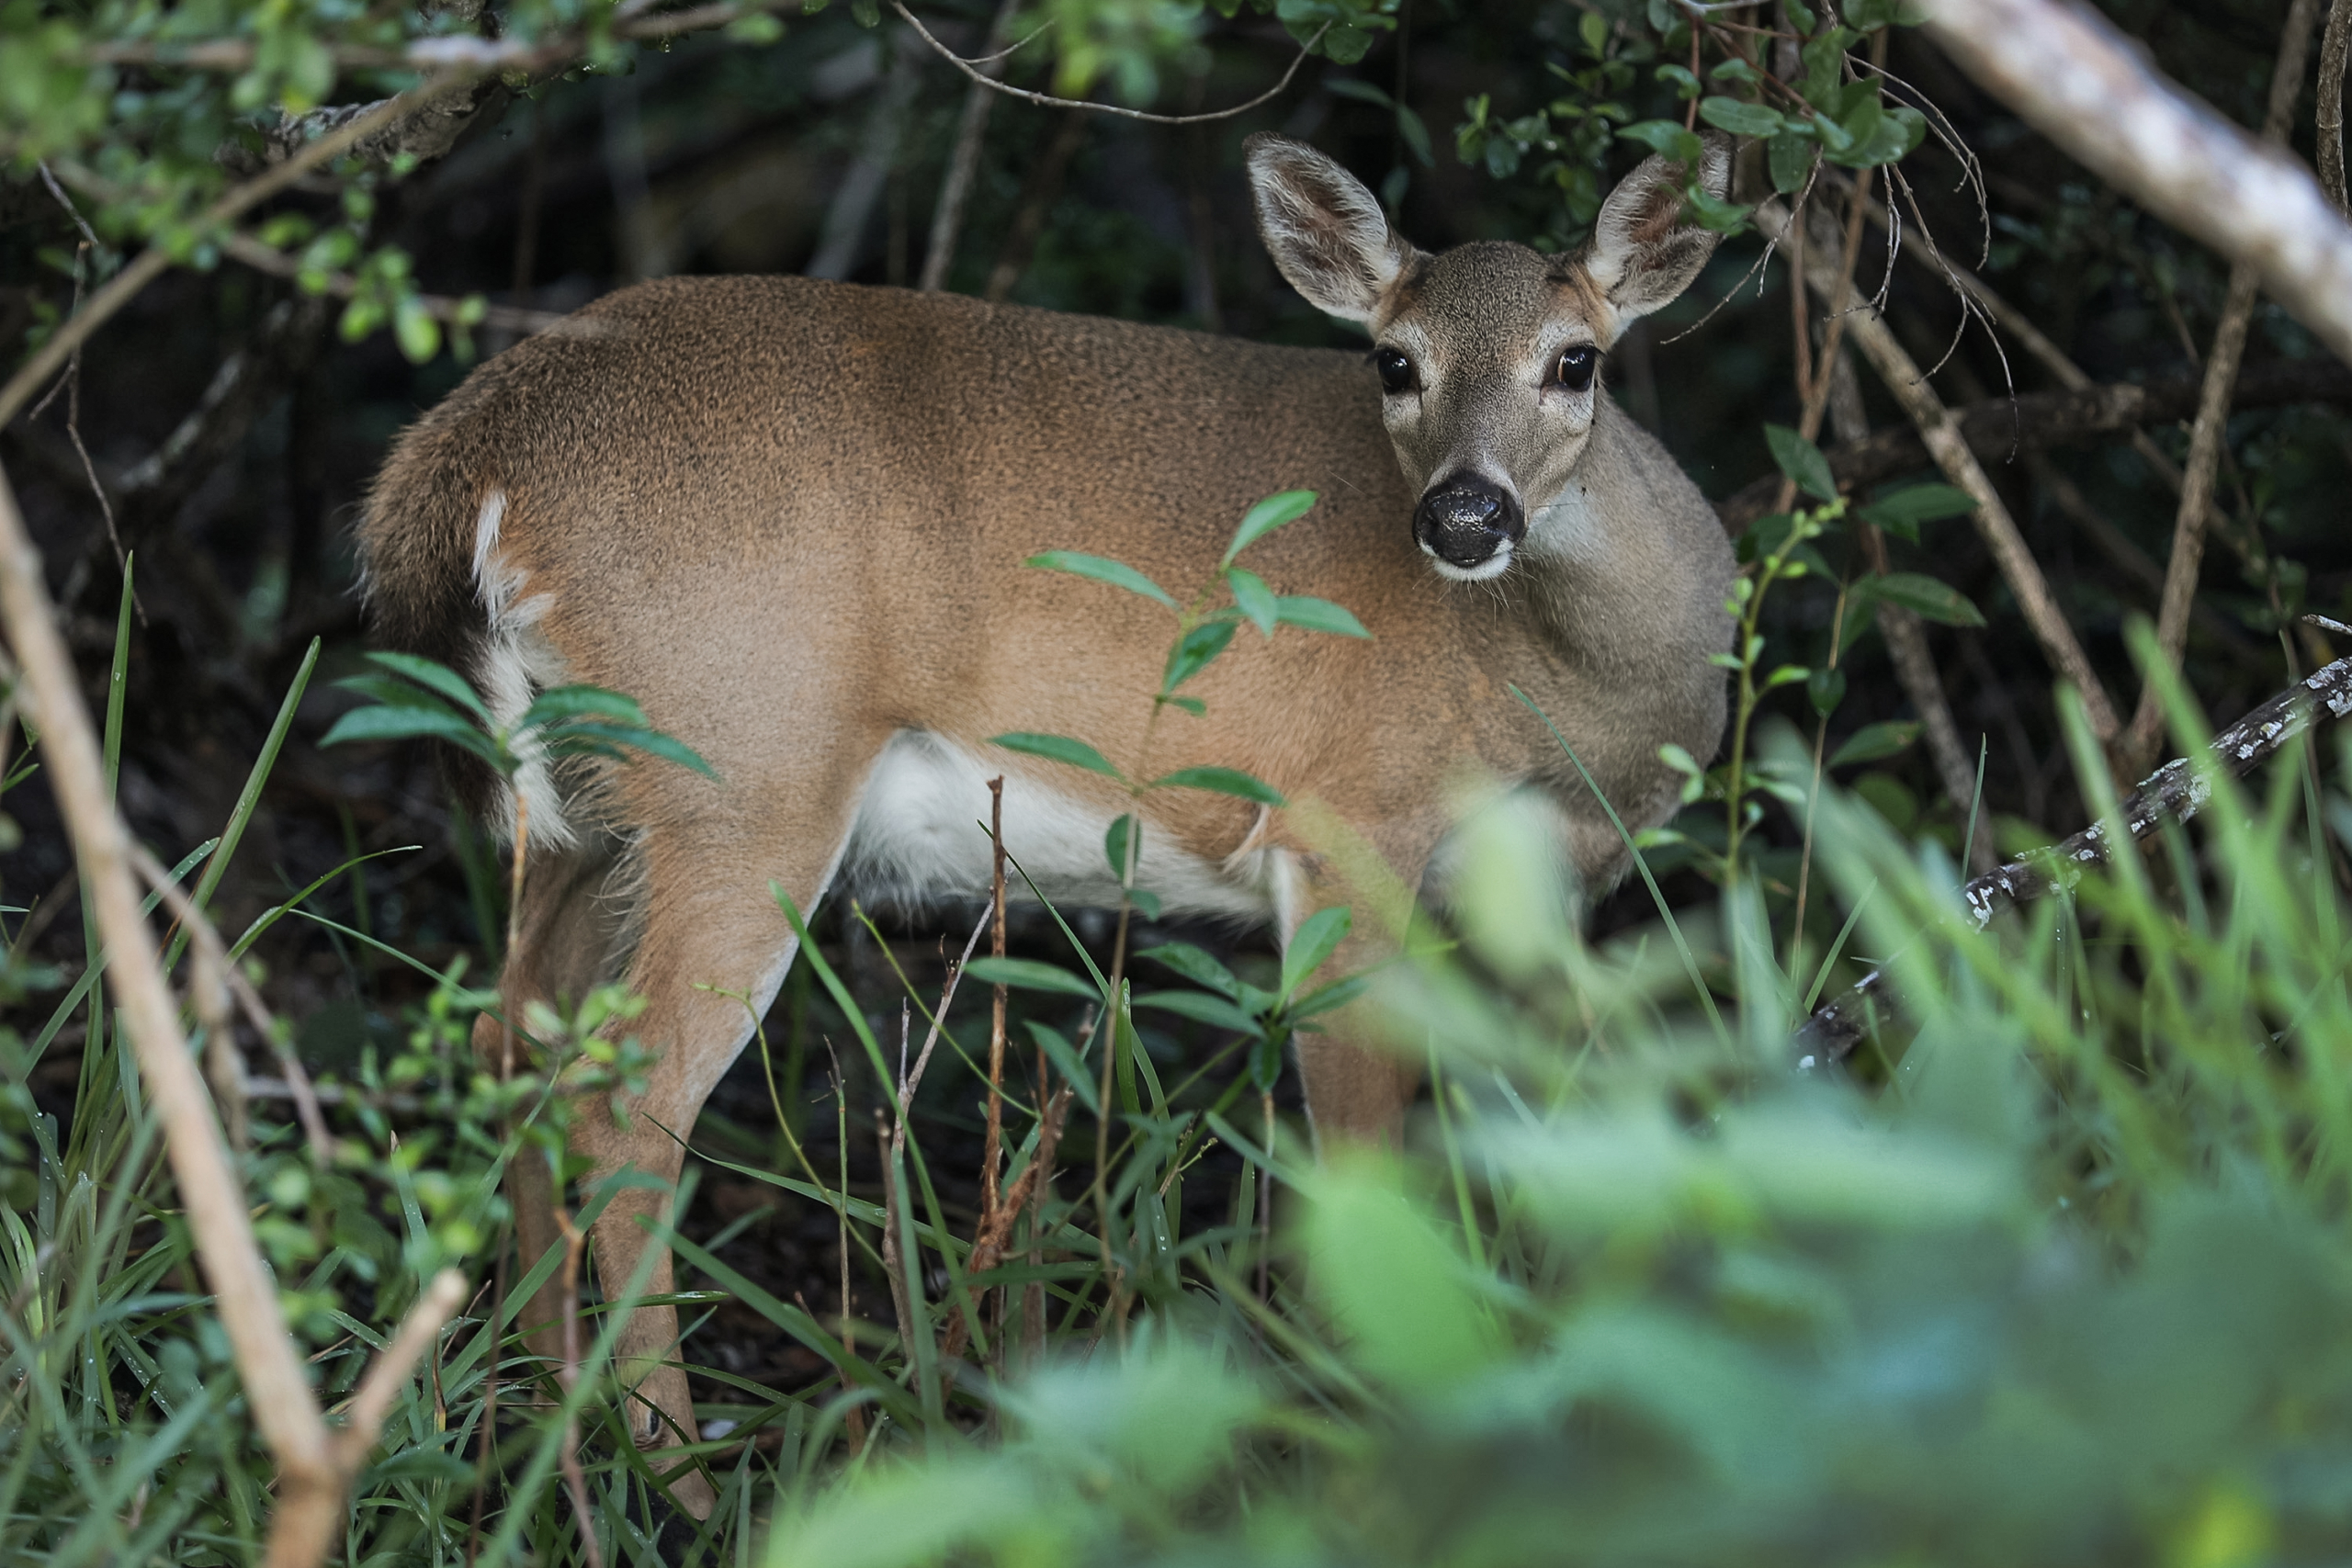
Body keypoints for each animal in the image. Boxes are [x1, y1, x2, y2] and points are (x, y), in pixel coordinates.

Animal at [357, 131, 1740, 1504]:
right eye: (1394, 361)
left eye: (1576, 360)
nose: (1462, 516)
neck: (1562, 697)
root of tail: (474, 450)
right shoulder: (1347, 824)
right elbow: (1362, 1158)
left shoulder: (1543, 893)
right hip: (745, 772)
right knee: (629, 1097)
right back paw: (679, 1480)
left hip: (593, 812)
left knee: (513, 1037)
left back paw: (540, 1437)